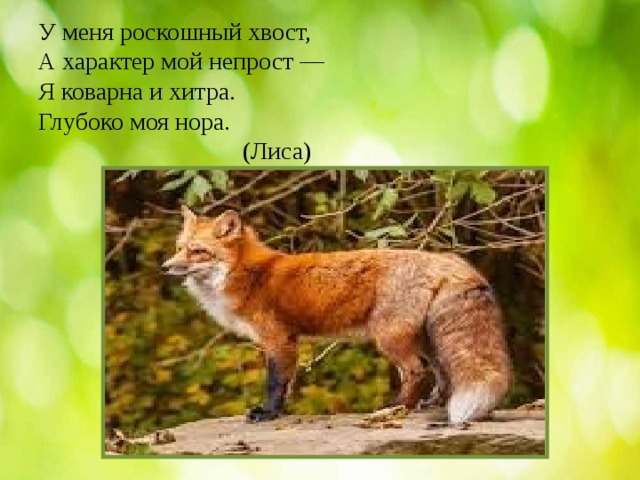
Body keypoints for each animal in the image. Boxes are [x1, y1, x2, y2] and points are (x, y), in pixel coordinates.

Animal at [162, 206, 512, 424]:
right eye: (179, 247)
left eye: (197, 251)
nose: (166, 267)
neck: (248, 276)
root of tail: (449, 260)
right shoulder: (289, 342)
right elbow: (287, 384)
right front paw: (281, 414)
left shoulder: (278, 339)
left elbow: (275, 383)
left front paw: (267, 414)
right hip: (425, 338)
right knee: (440, 373)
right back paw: (427, 405)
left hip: (389, 337)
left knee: (416, 371)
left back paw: (394, 408)